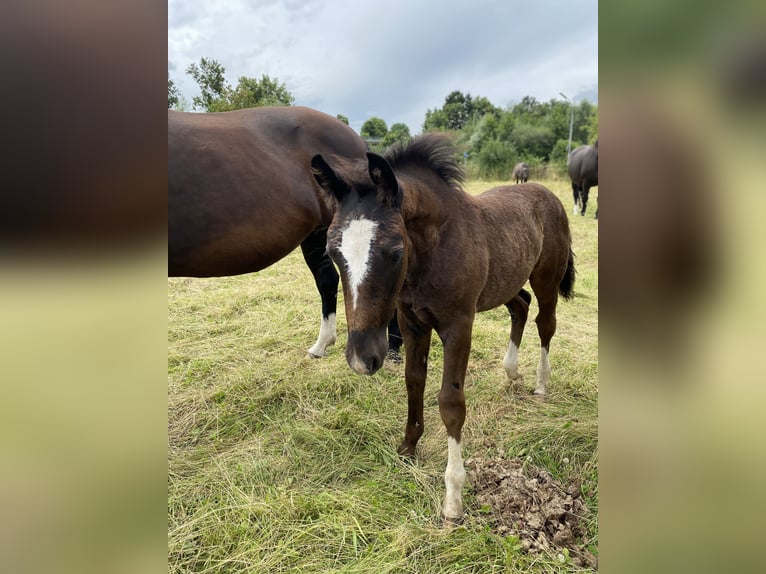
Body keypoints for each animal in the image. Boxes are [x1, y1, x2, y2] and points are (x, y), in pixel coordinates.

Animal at [312, 134, 576, 528]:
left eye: (395, 251)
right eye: (332, 252)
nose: (361, 358)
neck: (434, 250)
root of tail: (547, 192)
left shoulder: (458, 325)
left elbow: (451, 402)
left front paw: (453, 498)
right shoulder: (411, 322)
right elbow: (413, 380)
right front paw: (408, 446)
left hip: (547, 279)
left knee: (546, 322)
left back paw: (541, 384)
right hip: (506, 281)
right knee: (520, 306)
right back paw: (511, 371)